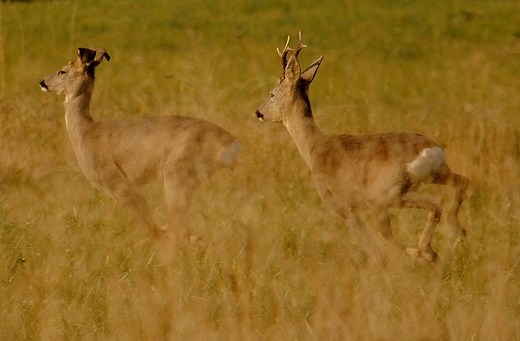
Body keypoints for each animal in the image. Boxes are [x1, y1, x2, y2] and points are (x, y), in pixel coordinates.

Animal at [40, 47, 242, 244]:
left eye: (62, 70)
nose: (42, 82)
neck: (85, 133)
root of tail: (233, 143)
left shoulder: (115, 179)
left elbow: (149, 227)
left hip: (177, 172)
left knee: (179, 232)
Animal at [254, 32, 470, 266]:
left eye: (272, 93)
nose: (258, 112)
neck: (314, 148)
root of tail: (429, 151)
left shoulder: (340, 204)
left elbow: (373, 245)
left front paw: (406, 257)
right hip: (436, 174)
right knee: (462, 181)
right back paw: (455, 233)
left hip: (390, 193)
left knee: (433, 203)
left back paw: (426, 250)